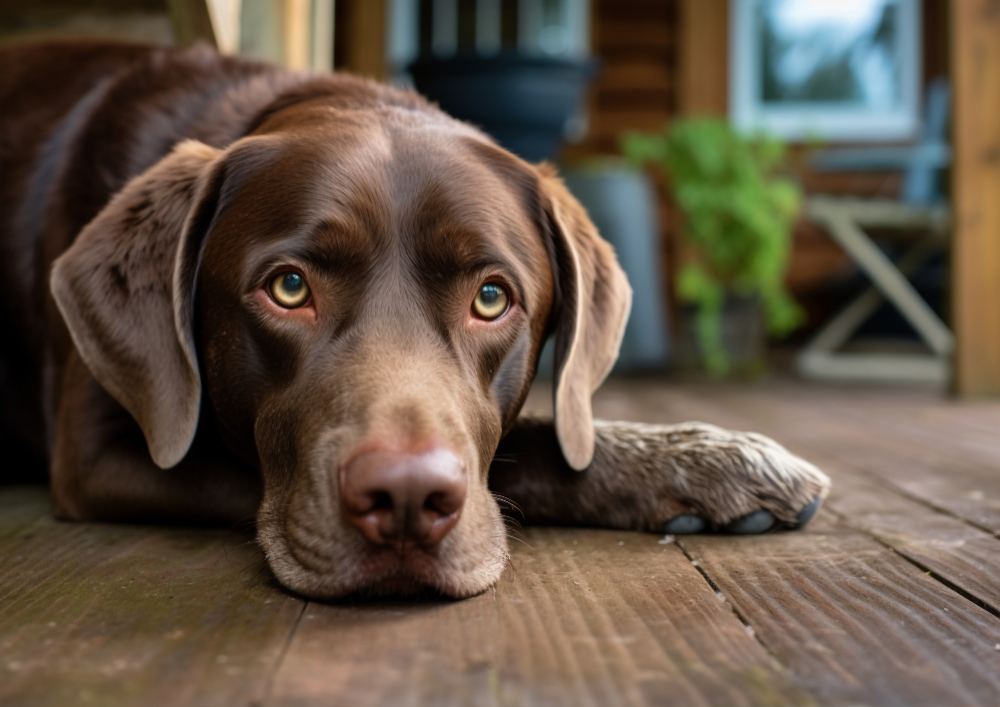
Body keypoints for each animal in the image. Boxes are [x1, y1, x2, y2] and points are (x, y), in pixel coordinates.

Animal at [0, 41, 828, 600]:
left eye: (491, 298)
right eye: (289, 288)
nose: (404, 499)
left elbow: (553, 443)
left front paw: (710, 459)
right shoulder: (94, 451)